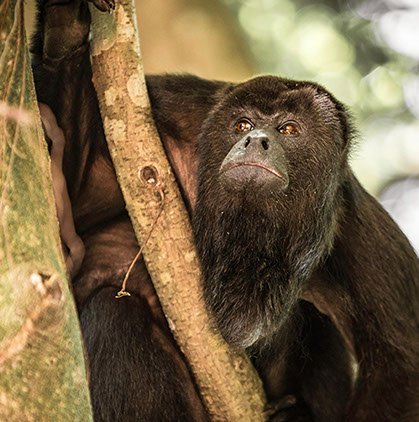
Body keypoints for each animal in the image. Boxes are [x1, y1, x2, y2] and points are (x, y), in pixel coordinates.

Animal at [31, 0, 419, 420]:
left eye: (288, 129)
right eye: (242, 124)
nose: (254, 140)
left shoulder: (359, 229)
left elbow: (400, 360)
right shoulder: (174, 108)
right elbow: (69, 198)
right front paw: (63, 30)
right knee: (112, 312)